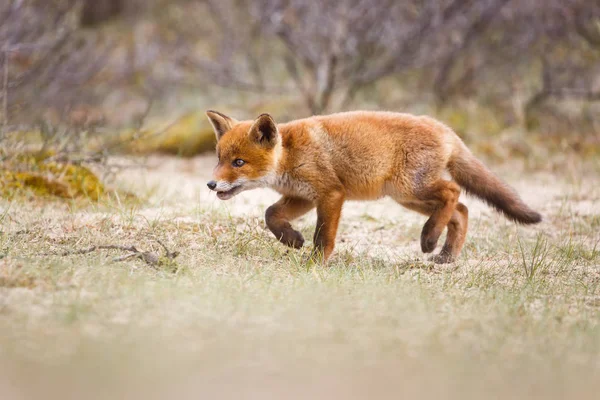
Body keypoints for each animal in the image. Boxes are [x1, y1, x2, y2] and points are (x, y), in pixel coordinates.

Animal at [204, 111, 540, 264]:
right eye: (219, 159)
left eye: (238, 163)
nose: (210, 184)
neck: (290, 154)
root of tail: (443, 127)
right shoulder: (303, 196)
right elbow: (270, 214)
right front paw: (292, 239)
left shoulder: (331, 194)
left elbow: (323, 236)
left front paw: (316, 263)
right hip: (407, 198)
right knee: (462, 210)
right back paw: (446, 255)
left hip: (411, 188)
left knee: (453, 193)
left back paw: (430, 238)